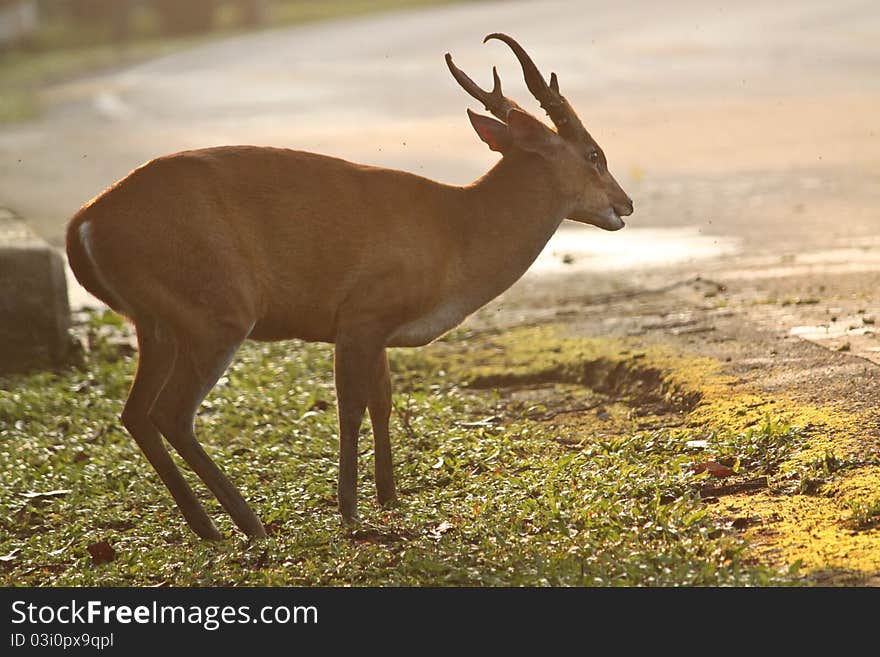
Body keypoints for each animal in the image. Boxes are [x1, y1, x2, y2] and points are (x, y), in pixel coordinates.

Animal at [67, 33, 632, 540]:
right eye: (594, 154)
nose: (624, 205)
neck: (457, 231)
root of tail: (84, 223)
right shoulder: (360, 314)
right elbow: (350, 408)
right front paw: (350, 510)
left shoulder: (377, 329)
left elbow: (382, 401)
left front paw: (389, 496)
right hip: (216, 313)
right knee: (172, 412)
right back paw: (247, 524)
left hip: (155, 323)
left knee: (136, 413)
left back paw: (207, 526)